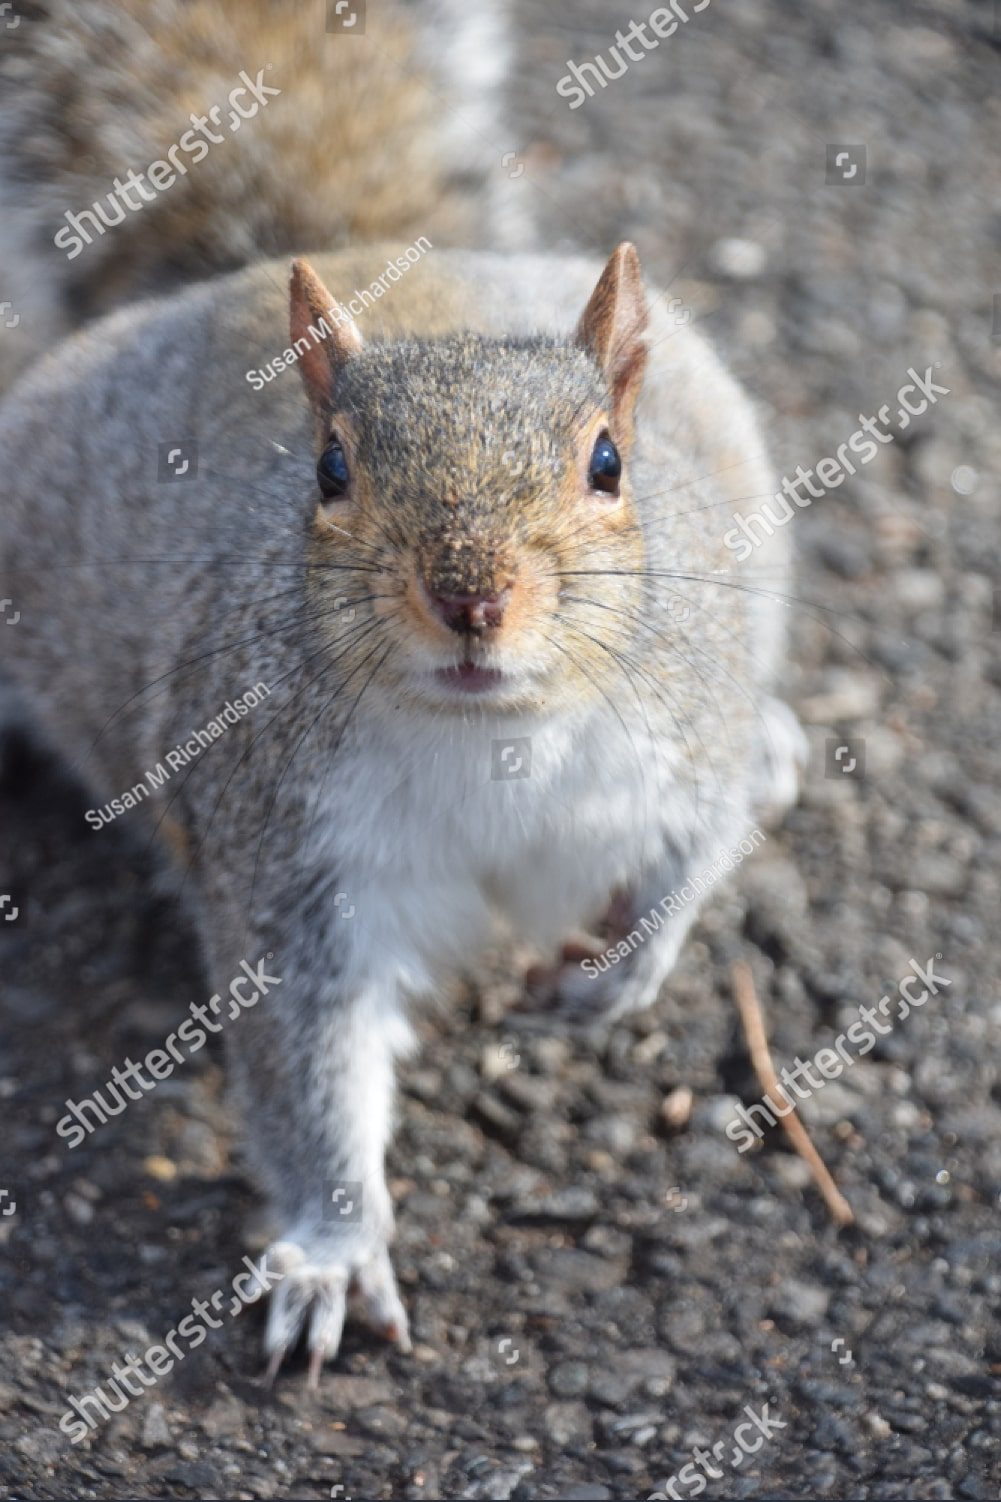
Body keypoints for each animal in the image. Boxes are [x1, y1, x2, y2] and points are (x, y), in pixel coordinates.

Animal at [0, 0, 806, 1380]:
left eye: (607, 461)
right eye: (328, 469)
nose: (470, 597)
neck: (492, 736)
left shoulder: (676, 737)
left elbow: (693, 850)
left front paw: (618, 973)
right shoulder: (288, 858)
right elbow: (310, 1064)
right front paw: (333, 1247)